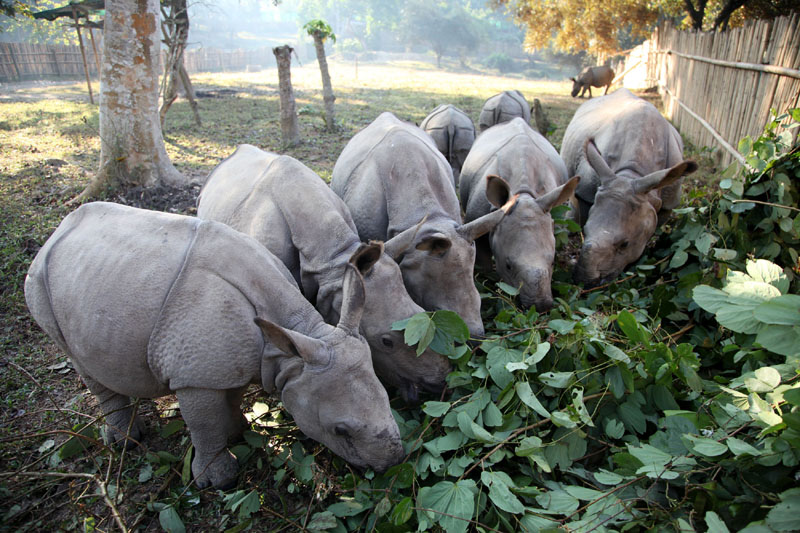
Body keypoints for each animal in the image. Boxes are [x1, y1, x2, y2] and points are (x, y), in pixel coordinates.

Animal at [24, 202, 404, 489]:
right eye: (340, 430)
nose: (393, 461)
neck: (289, 346)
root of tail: (58, 230)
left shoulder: (230, 360)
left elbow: (232, 397)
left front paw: (237, 430)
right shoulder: (195, 375)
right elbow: (203, 423)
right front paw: (217, 480)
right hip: (39, 281)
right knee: (77, 360)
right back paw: (125, 441)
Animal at [460, 118, 580, 310]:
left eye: (553, 262)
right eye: (508, 266)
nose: (540, 305)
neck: (523, 194)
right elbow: (482, 260)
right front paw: (486, 281)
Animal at [560, 89, 698, 287]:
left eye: (624, 244)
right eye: (585, 231)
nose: (585, 282)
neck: (632, 175)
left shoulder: (667, 202)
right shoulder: (589, 188)